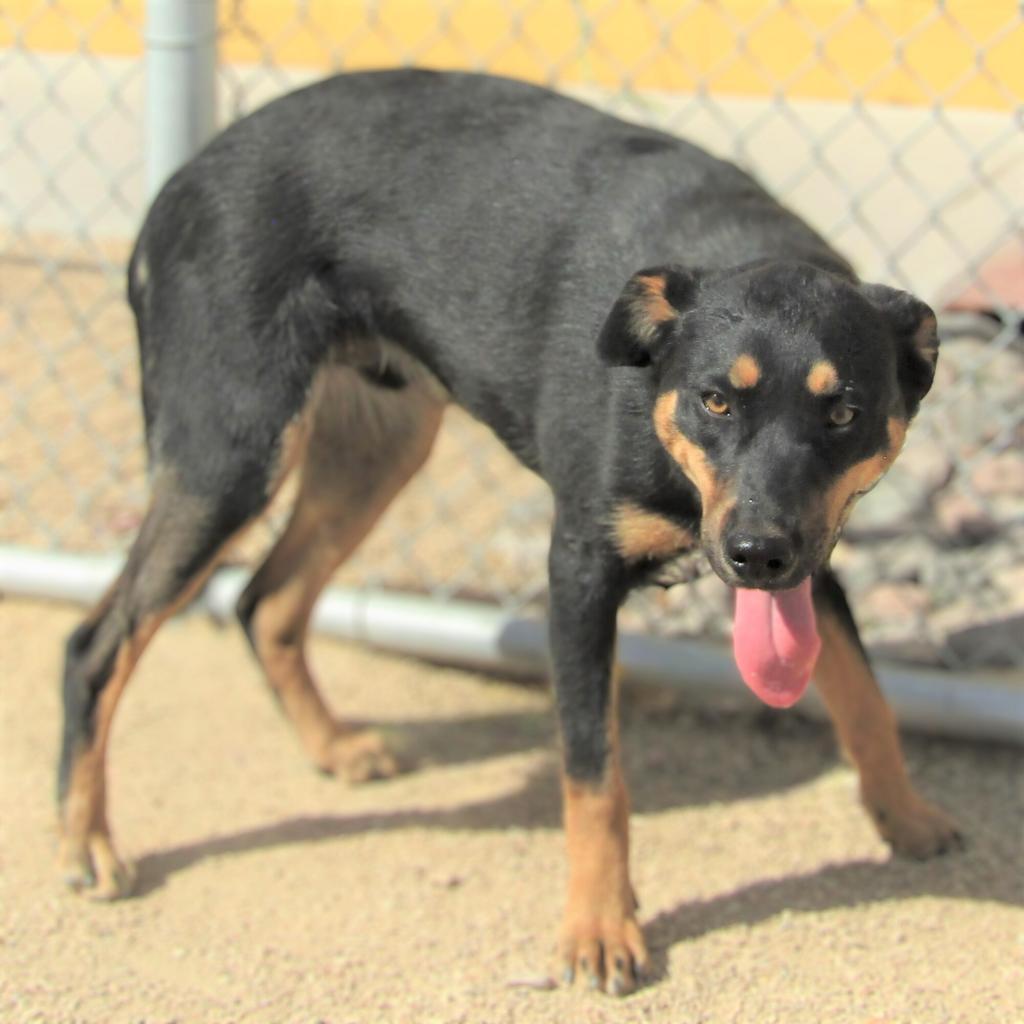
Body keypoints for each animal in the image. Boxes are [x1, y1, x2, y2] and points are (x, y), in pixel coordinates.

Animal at [61, 70, 958, 991]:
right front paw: (599, 928)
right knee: (97, 645)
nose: (756, 557)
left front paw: (906, 815)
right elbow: (595, 776)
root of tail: (179, 182)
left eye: (845, 413)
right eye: (715, 400)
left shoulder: (813, 554)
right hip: (231, 454)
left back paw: (332, 748)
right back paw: (88, 842)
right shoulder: (579, 575)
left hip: (376, 450)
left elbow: (865, 697)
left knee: (265, 602)